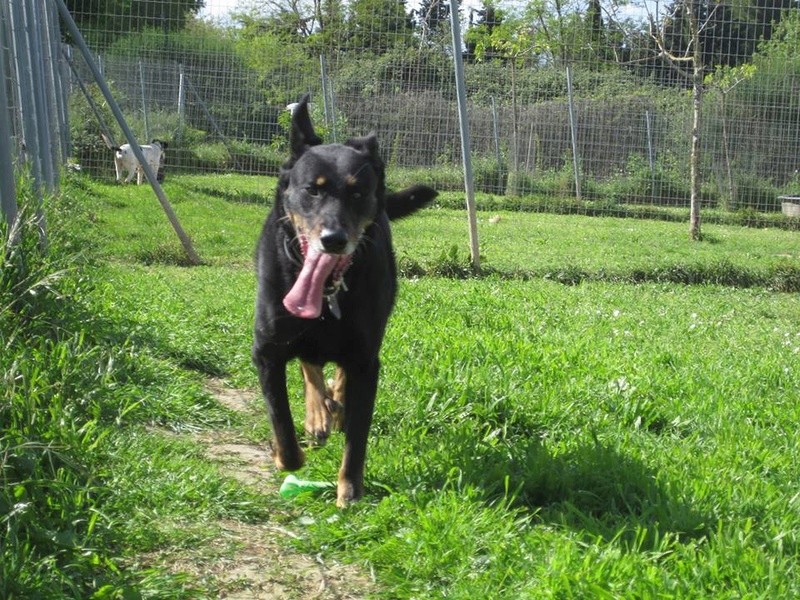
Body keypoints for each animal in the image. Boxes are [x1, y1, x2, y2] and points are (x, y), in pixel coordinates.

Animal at [252, 96, 434, 508]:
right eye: (312, 190)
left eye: (357, 193)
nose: (333, 239)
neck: (327, 295)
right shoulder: (267, 351)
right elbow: (283, 427)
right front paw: (284, 450)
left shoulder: (366, 358)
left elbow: (357, 435)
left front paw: (349, 489)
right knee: (310, 366)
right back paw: (318, 415)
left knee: (334, 376)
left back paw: (331, 407)